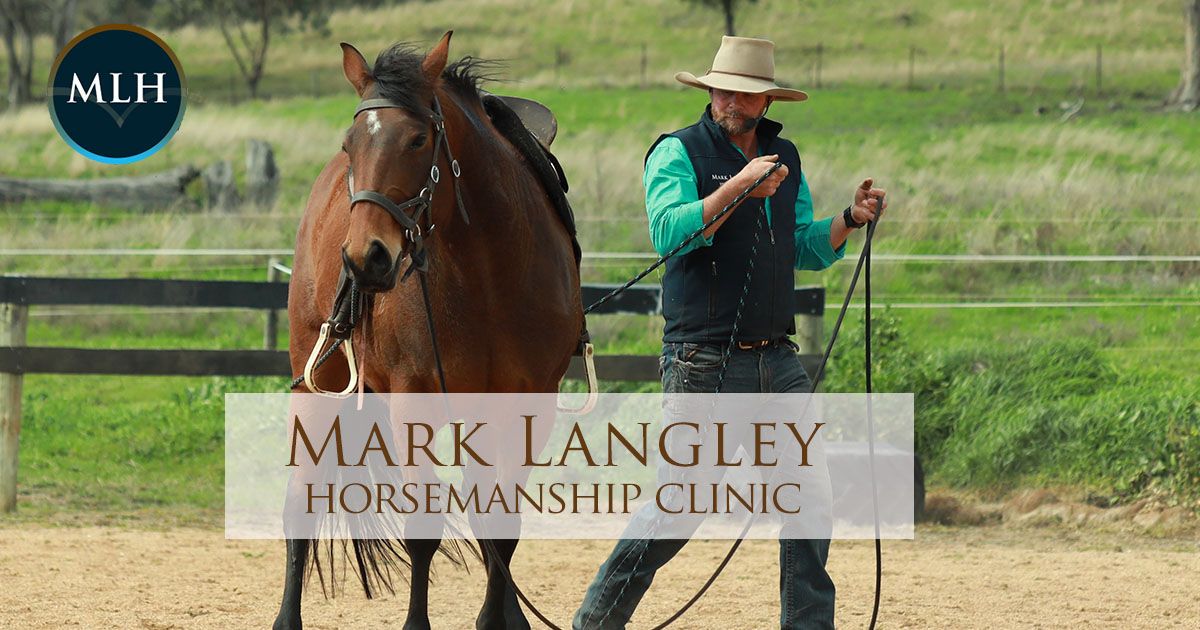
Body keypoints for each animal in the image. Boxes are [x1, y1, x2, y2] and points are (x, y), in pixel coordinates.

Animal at [276, 33, 585, 628]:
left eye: (419, 139)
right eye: (352, 143)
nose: (366, 258)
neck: (488, 272)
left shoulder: (526, 404)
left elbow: (501, 529)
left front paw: (498, 619)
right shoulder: (413, 400)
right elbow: (423, 531)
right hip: (315, 388)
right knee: (300, 505)